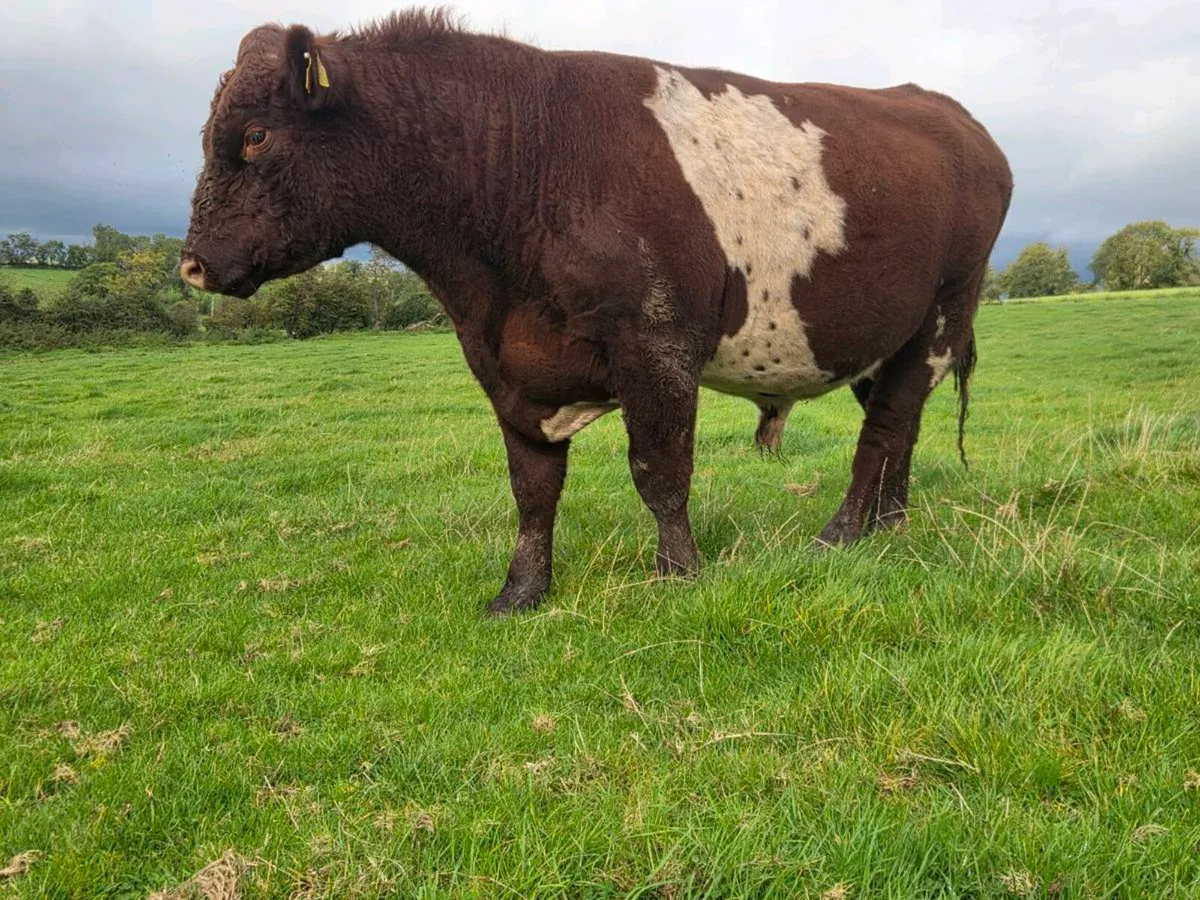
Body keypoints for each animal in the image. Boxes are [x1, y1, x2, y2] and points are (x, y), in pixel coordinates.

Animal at [180, 8, 1014, 615]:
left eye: (255, 136)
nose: (192, 264)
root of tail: (949, 113)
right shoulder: (506, 369)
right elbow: (531, 487)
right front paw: (520, 594)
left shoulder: (658, 345)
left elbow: (659, 471)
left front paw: (678, 576)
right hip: (886, 334)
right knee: (900, 426)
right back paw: (889, 527)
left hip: (944, 310)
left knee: (886, 430)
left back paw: (839, 536)